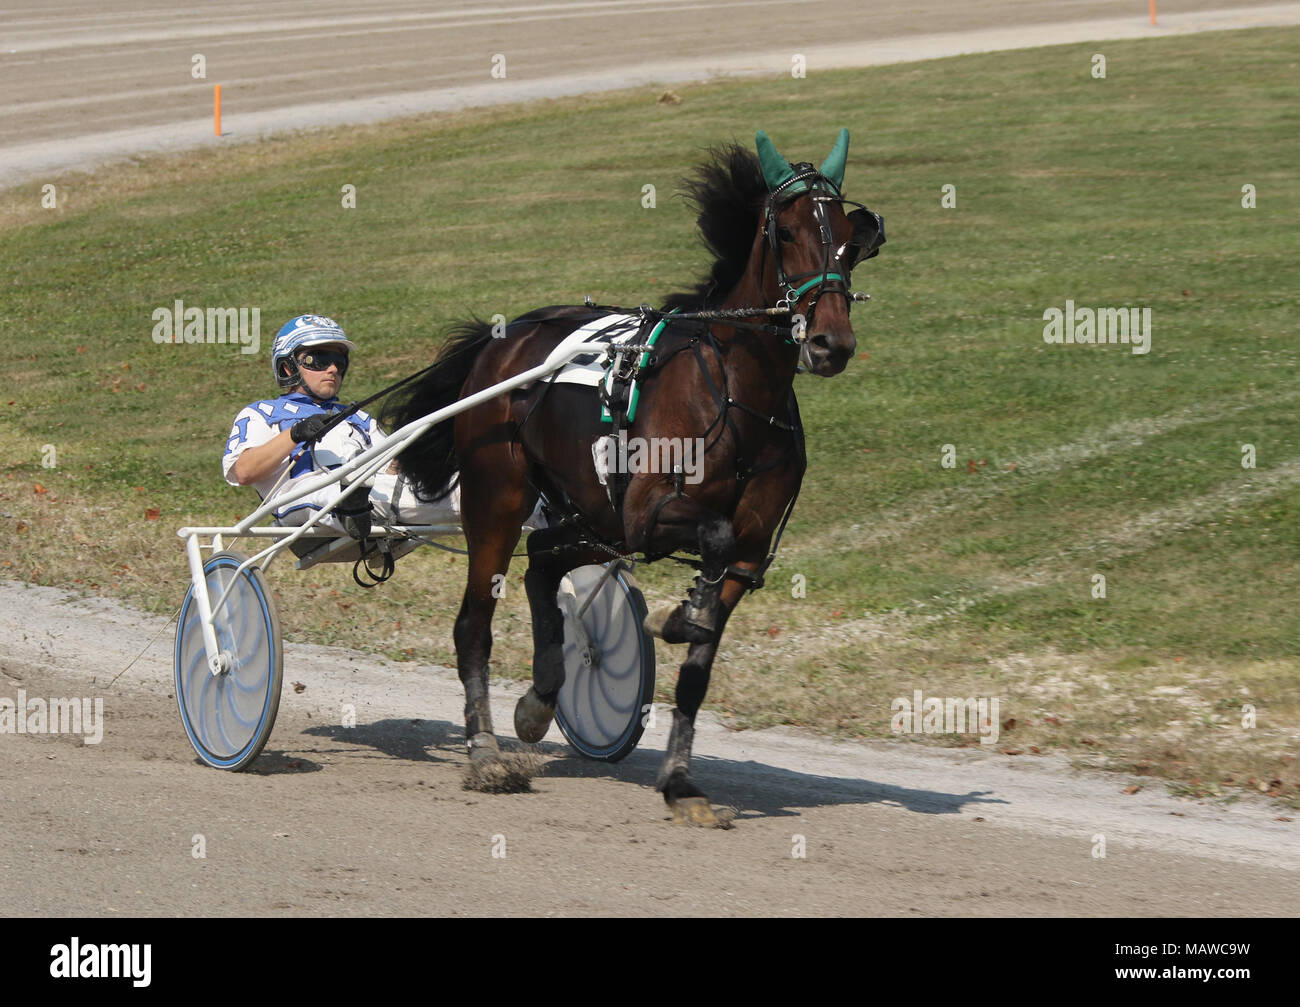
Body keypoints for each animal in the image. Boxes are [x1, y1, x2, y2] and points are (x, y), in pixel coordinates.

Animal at [382, 127, 883, 826]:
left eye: (848, 238)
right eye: (785, 233)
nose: (831, 343)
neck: (736, 393)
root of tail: (502, 338)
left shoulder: (748, 550)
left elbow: (700, 663)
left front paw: (681, 782)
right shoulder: (647, 513)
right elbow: (713, 540)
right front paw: (675, 619)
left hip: (589, 513)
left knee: (543, 561)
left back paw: (540, 699)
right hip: (502, 500)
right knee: (474, 621)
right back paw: (485, 753)